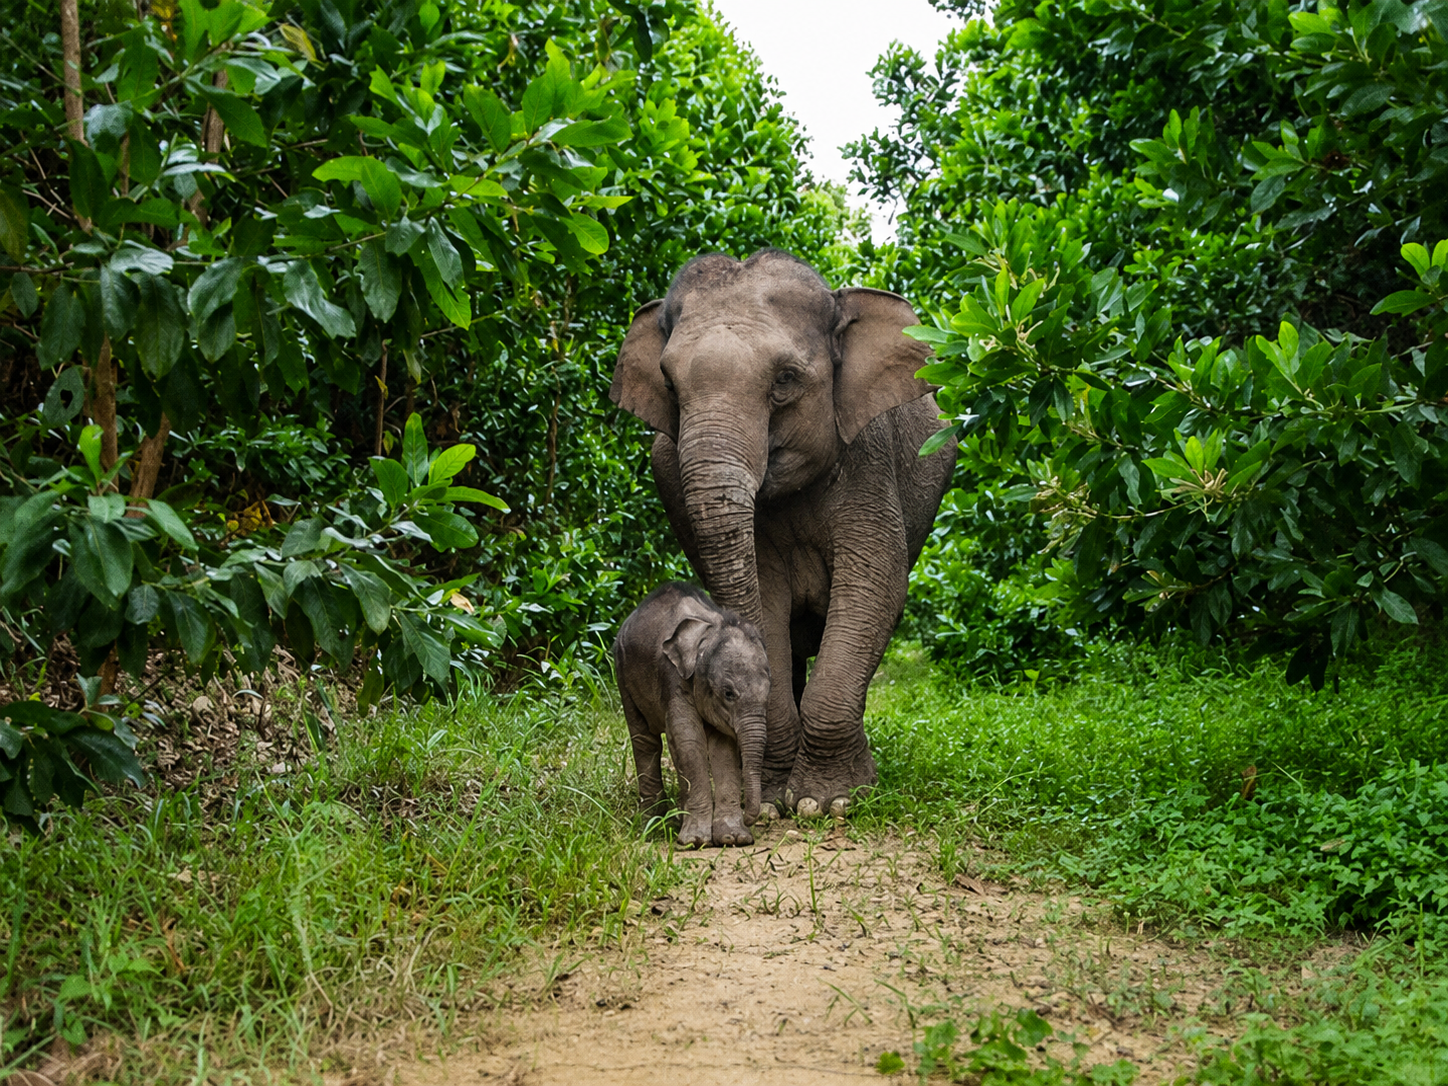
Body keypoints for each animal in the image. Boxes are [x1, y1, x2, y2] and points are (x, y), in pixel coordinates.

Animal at [610, 248, 955, 819]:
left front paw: (826, 802)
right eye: (670, 387)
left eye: (787, 379)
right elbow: (766, 595)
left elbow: (873, 587)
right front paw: (775, 802)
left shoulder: (869, 459)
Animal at [614, 581, 771, 847]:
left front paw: (732, 838)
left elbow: (723, 749)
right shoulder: (672, 677)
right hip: (622, 672)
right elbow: (688, 740)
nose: (752, 819)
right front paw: (695, 841)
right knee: (645, 741)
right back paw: (652, 823)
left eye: (769, 692)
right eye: (728, 693)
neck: (710, 630)